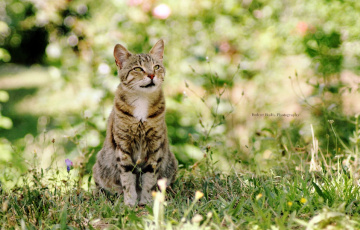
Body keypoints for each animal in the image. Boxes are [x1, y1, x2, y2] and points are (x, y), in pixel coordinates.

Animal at [92, 40, 178, 207]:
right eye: (138, 68)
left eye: (156, 67)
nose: (151, 75)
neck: (142, 100)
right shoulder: (123, 146)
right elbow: (128, 179)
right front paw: (130, 202)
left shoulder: (154, 146)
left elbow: (149, 179)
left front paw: (146, 201)